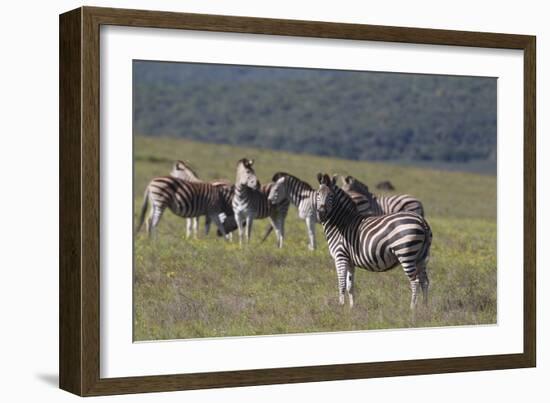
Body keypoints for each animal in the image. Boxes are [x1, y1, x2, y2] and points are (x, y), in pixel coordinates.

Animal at [312, 173, 434, 310]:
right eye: (318, 194)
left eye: (331, 196)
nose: (321, 214)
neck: (341, 223)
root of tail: (422, 221)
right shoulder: (350, 261)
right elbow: (350, 286)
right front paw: (351, 308)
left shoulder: (340, 256)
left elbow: (342, 284)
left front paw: (341, 307)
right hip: (421, 257)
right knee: (424, 281)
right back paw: (425, 307)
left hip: (405, 253)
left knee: (415, 282)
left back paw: (412, 308)